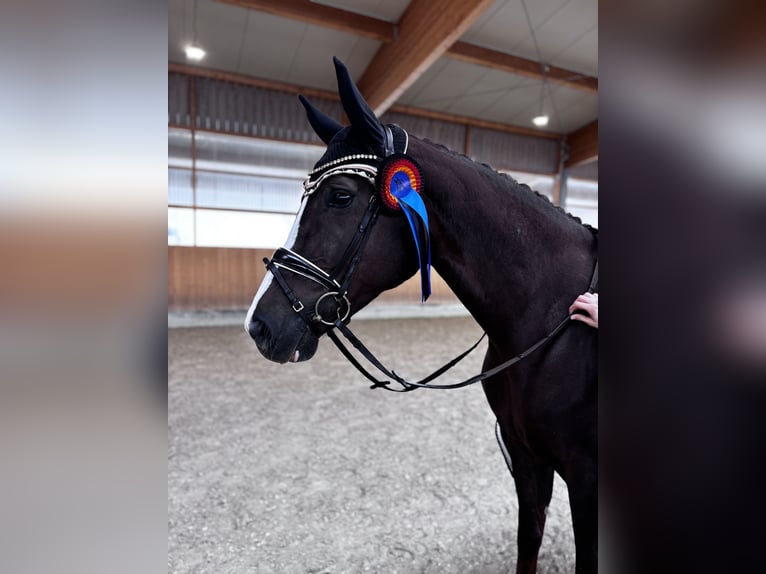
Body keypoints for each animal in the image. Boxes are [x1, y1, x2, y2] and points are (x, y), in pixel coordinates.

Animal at [245, 57, 598, 574]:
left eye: (341, 196)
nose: (260, 326)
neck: (550, 321)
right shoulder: (527, 456)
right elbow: (528, 540)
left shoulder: (585, 476)